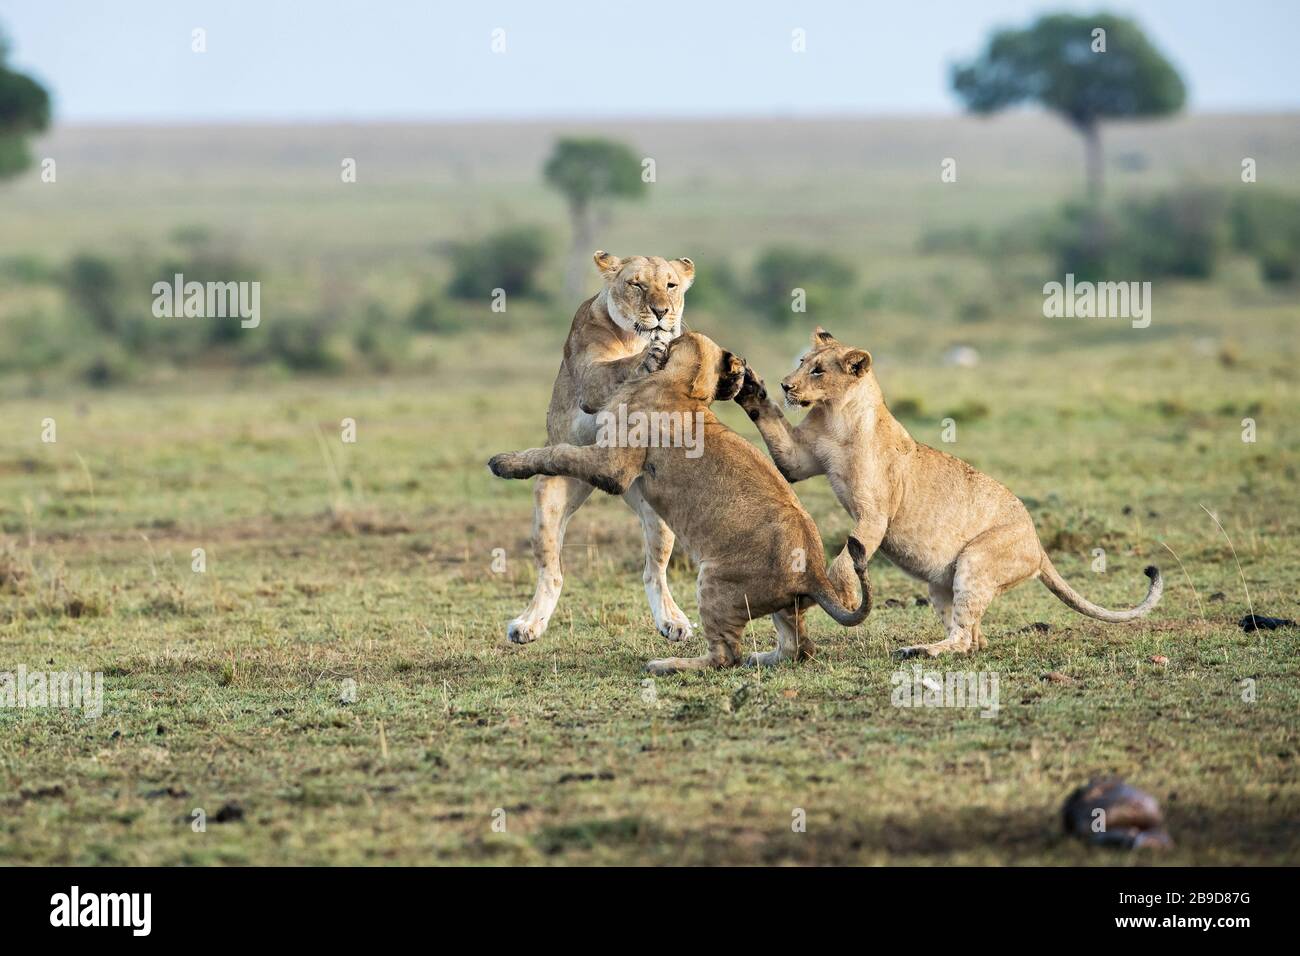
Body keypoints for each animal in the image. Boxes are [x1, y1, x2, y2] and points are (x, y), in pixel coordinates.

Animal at [489, 332, 873, 674]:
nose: (744, 376)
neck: (682, 383)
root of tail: (814, 575)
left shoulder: (614, 466)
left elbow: (559, 452)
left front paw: (504, 462)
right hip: (785, 607)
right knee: (800, 648)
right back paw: (760, 657)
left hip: (713, 582)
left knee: (725, 656)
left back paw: (666, 664)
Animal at [505, 251, 698, 646]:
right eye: (636, 284)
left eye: (670, 285)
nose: (661, 311)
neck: (633, 338)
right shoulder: (592, 377)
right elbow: (616, 369)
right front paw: (650, 357)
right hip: (550, 499)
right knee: (551, 572)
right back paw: (529, 625)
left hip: (658, 511)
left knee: (654, 571)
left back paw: (673, 622)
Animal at [734, 327, 1162, 658]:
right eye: (802, 360)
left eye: (819, 370)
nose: (787, 385)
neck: (833, 414)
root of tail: (1040, 547)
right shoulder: (798, 461)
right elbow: (772, 426)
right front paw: (748, 388)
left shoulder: (876, 513)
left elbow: (843, 562)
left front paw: (847, 597)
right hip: (940, 583)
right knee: (973, 638)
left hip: (978, 559)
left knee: (963, 637)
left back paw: (918, 650)